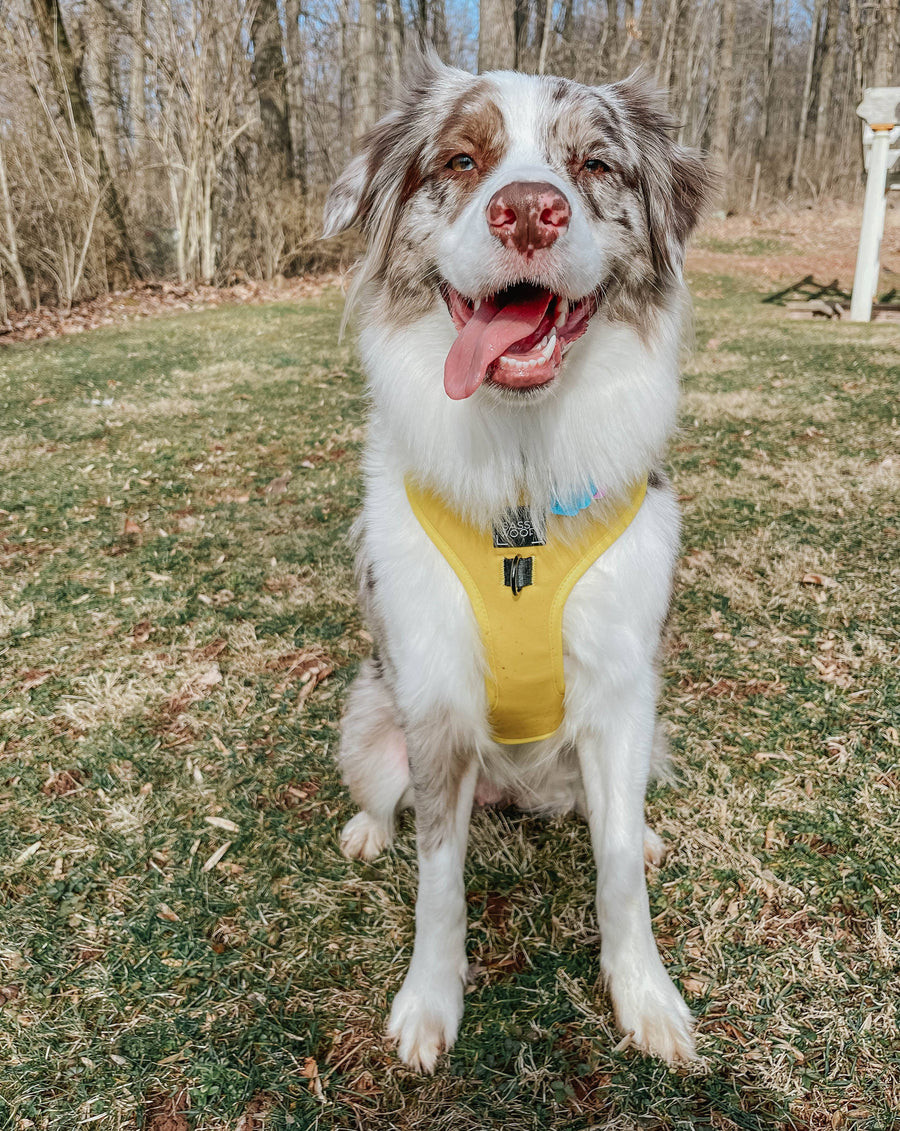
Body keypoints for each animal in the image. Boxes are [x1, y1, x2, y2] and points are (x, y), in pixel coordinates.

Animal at [323, 53, 710, 1072]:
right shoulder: (435, 700)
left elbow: (614, 871)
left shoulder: (620, 694)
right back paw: (366, 829)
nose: (529, 210)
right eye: (462, 160)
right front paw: (429, 1003)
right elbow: (438, 880)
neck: (524, 476)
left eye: (596, 165)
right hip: (373, 715)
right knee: (387, 797)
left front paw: (645, 996)